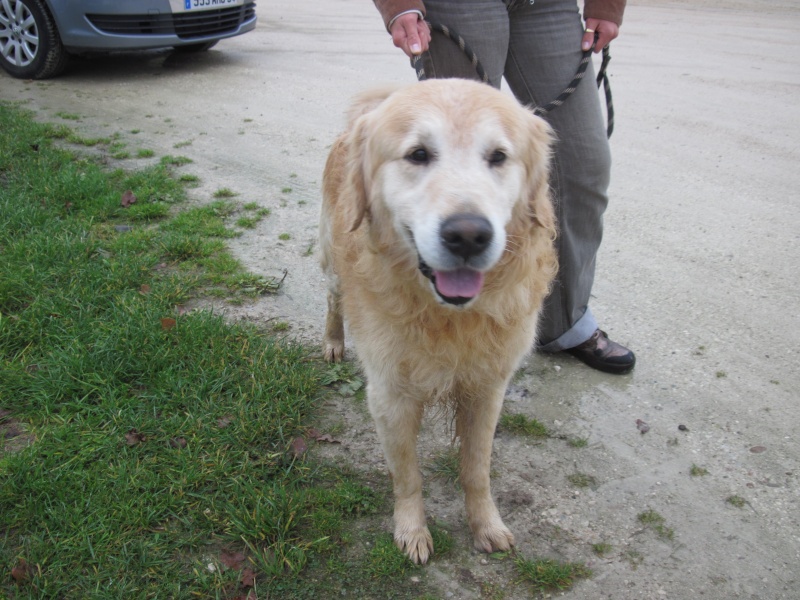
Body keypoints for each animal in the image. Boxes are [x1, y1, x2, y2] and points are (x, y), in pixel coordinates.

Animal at [318, 78, 556, 564]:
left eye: (498, 157)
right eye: (418, 154)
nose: (468, 235)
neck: (449, 316)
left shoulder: (488, 388)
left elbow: (477, 469)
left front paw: (486, 524)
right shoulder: (389, 394)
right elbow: (408, 476)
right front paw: (412, 530)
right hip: (333, 261)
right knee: (334, 300)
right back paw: (333, 341)